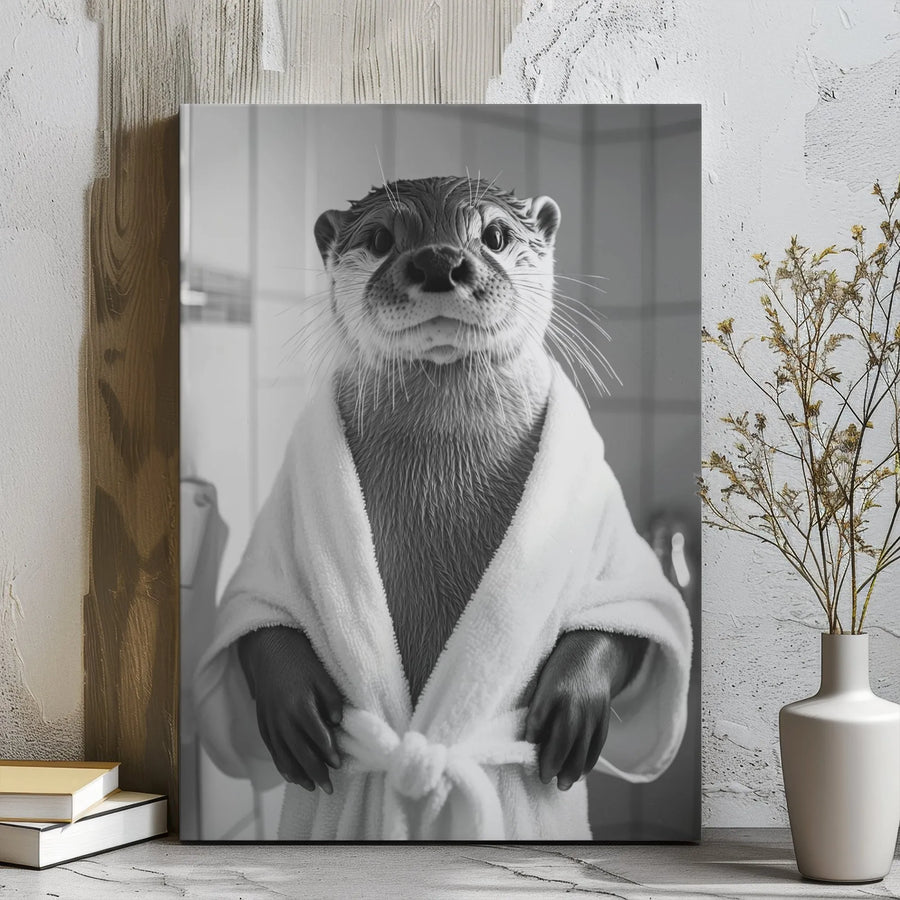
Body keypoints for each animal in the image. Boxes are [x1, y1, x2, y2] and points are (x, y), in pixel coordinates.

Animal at [238, 176, 647, 800]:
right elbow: (262, 615)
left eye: (495, 237)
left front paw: (576, 699)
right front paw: (292, 702)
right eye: (381, 239)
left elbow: (624, 615)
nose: (437, 260)